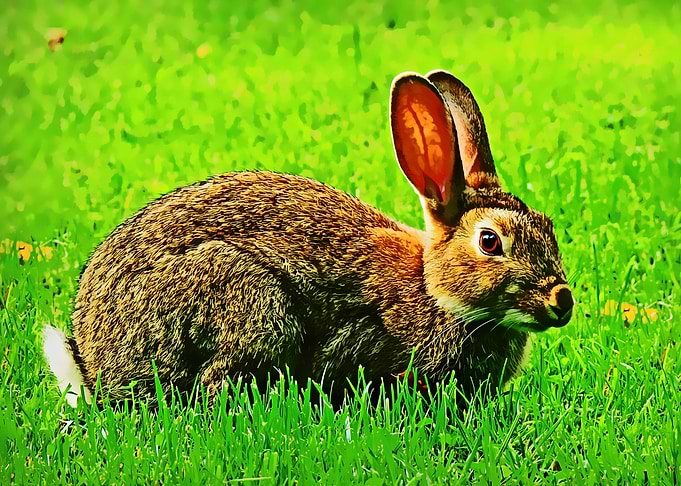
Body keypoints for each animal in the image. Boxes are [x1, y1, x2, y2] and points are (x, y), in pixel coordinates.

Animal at [43, 69, 574, 408]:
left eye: (548, 227)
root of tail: (94, 365)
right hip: (247, 298)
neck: (435, 292)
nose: (562, 301)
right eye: (490, 242)